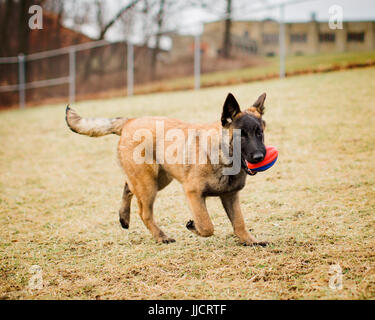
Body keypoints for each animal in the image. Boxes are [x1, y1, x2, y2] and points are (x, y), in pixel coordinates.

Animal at [66, 93, 268, 248]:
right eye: (241, 135)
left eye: (259, 133)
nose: (259, 157)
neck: (221, 153)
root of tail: (130, 121)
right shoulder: (193, 193)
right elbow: (207, 226)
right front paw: (194, 226)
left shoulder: (230, 196)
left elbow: (239, 223)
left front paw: (250, 241)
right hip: (148, 185)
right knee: (144, 212)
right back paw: (161, 236)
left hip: (159, 179)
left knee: (128, 187)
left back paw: (124, 217)